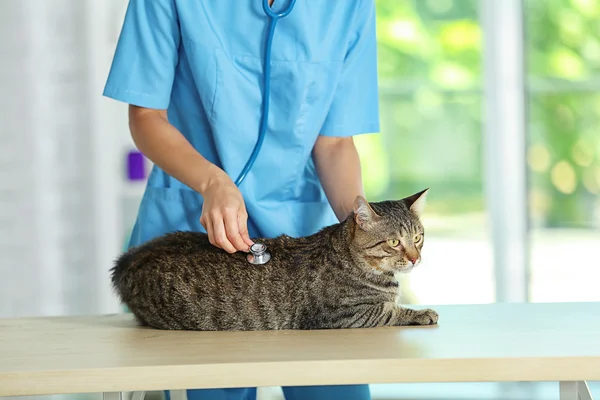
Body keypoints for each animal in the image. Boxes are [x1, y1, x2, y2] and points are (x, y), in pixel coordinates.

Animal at [112, 190, 438, 332]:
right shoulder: (342, 316)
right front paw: (421, 313)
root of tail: (127, 260)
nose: (416, 258)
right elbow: (389, 312)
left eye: (418, 237)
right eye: (394, 242)